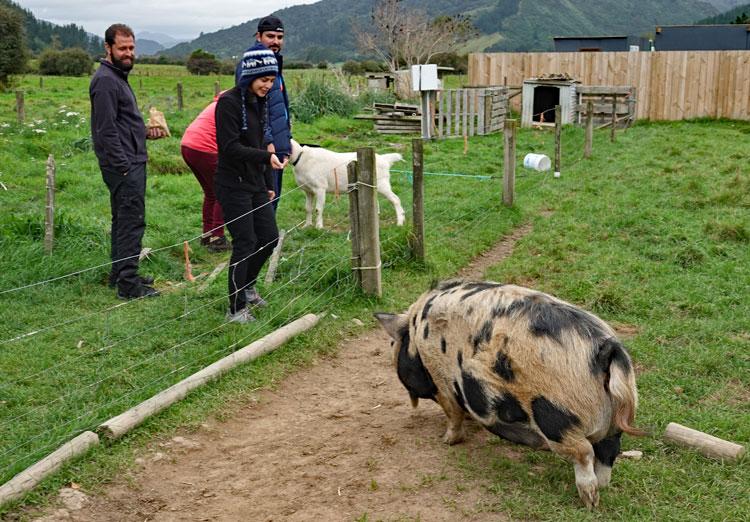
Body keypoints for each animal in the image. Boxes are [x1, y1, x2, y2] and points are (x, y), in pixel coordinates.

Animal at [376, 278, 648, 506]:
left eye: (392, 344)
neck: (417, 336)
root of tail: (606, 350)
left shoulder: (443, 382)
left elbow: (453, 413)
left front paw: (447, 440)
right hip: (613, 425)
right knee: (608, 452)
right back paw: (602, 489)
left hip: (555, 417)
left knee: (584, 453)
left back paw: (589, 503)